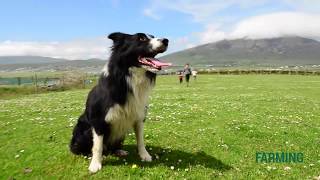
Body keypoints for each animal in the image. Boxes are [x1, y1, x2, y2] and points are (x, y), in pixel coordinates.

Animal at [70, 32, 170, 173]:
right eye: (141, 38)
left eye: (152, 36)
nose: (166, 40)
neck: (129, 78)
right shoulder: (98, 121)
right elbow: (97, 146)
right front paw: (95, 164)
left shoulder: (139, 117)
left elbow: (141, 140)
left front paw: (144, 155)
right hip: (83, 131)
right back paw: (89, 154)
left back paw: (119, 151)